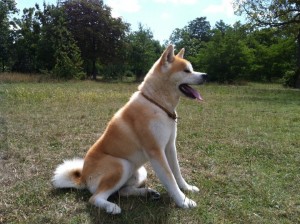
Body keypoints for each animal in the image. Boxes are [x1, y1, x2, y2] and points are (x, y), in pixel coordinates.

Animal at [52, 45, 206, 214]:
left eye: (192, 69)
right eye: (186, 71)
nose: (205, 75)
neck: (157, 104)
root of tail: (83, 178)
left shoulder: (170, 146)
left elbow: (177, 173)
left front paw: (187, 188)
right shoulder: (156, 152)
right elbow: (169, 178)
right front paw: (184, 201)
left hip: (140, 171)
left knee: (122, 191)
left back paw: (148, 193)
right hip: (122, 165)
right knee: (95, 198)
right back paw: (111, 207)